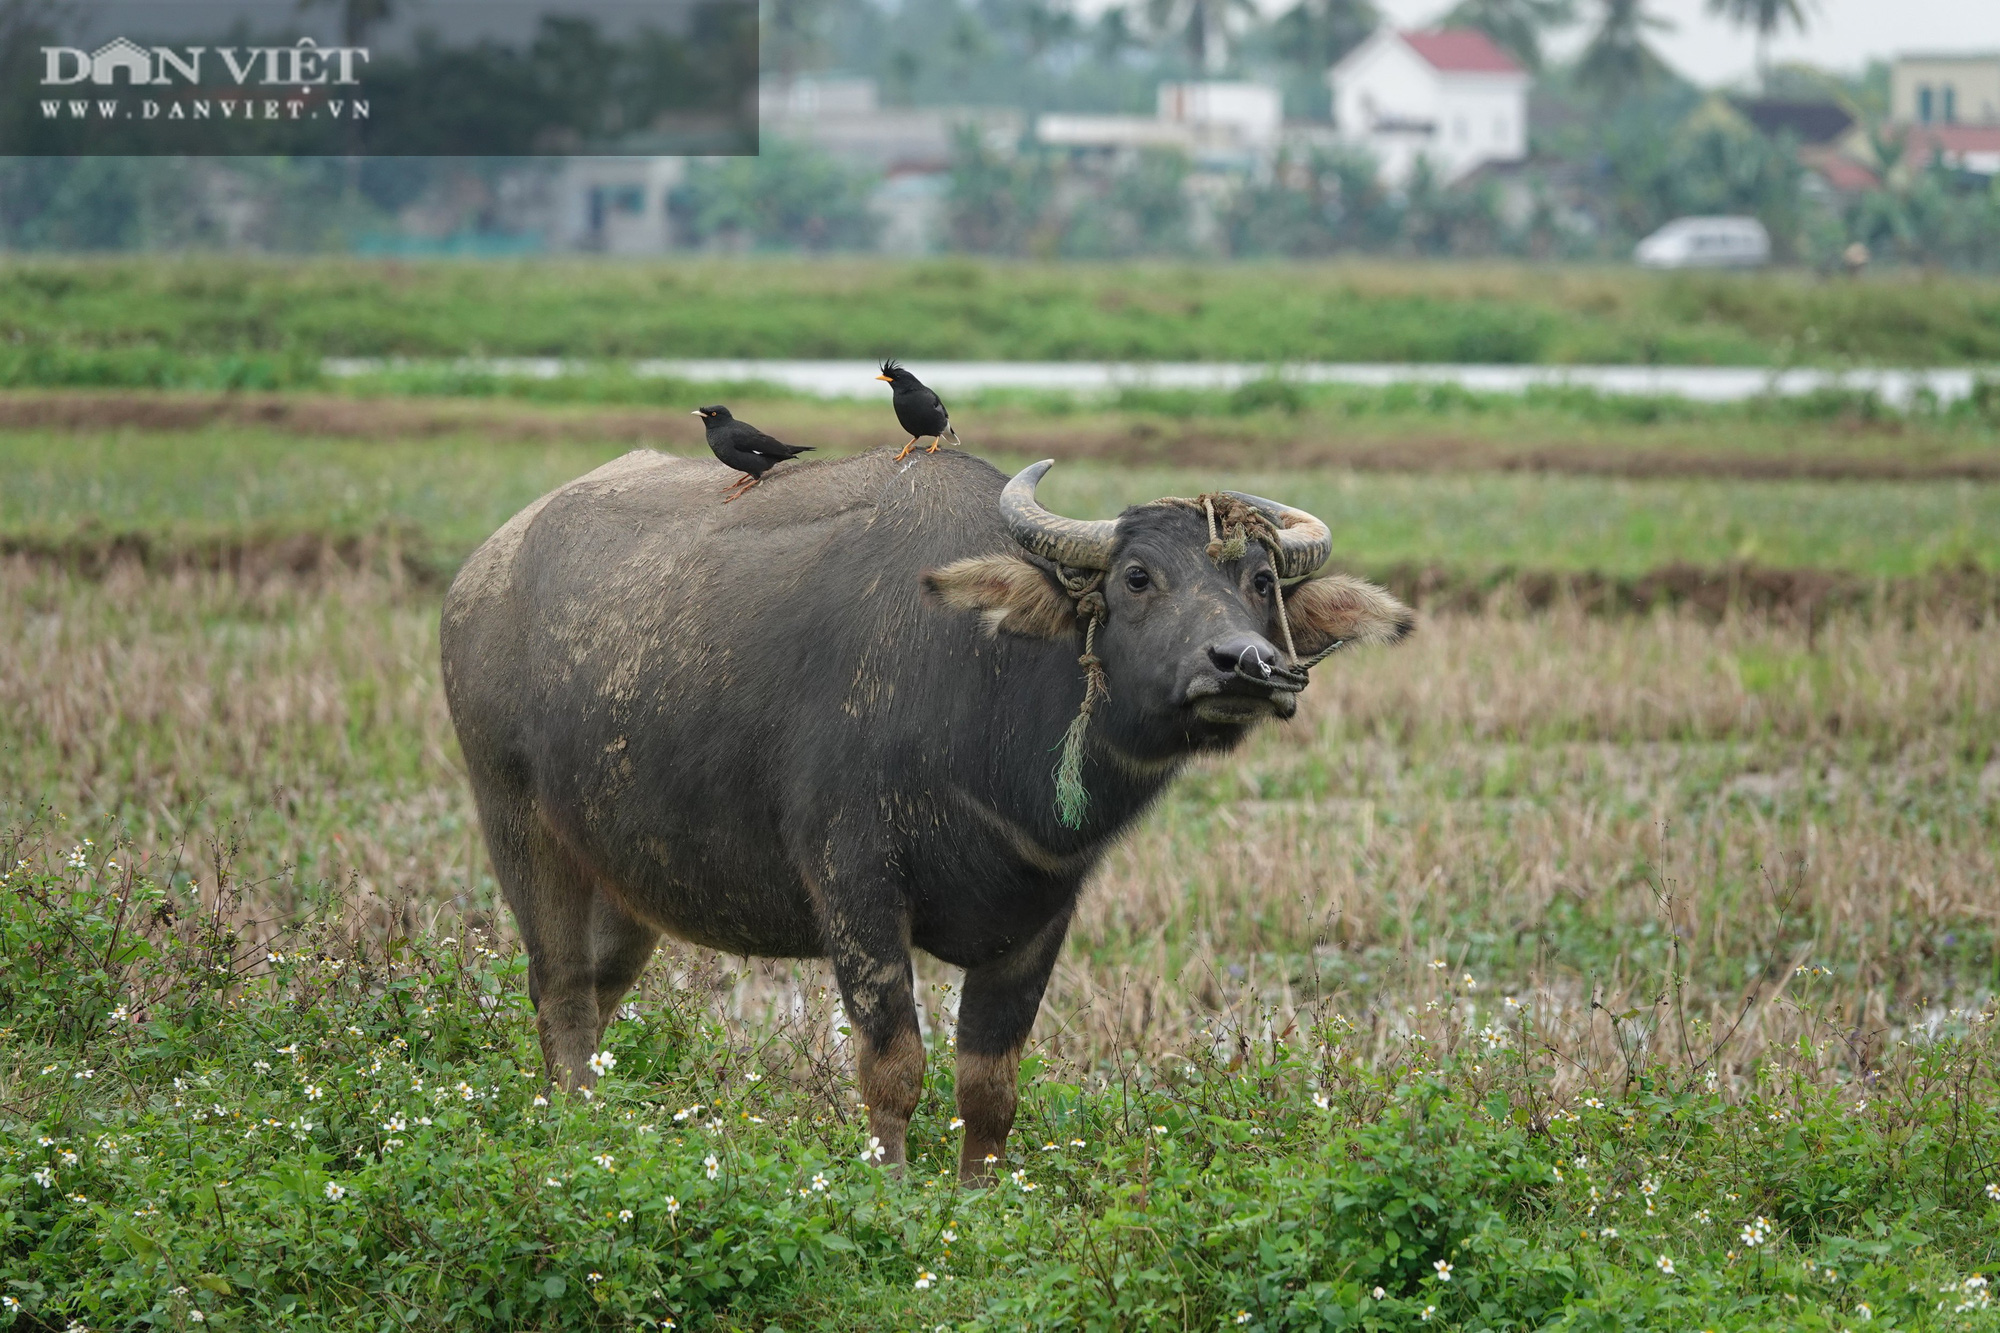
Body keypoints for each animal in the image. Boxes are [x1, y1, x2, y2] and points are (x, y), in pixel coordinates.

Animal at [442, 444, 1408, 1176]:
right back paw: (577, 1129)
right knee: (562, 992)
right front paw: (895, 1184)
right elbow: (894, 1062)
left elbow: (990, 1081)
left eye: (1259, 581)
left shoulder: (1043, 913)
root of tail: (481, 574)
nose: (1245, 664)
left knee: (600, 994)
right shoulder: (857, 889)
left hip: (629, 879)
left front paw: (979, 1194)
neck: (988, 698)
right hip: (517, 825)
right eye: (1137, 576)